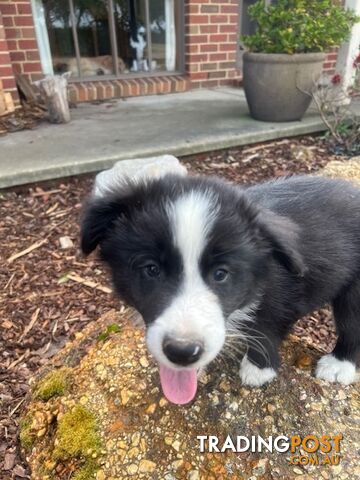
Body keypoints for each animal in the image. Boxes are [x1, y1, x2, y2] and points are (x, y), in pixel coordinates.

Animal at [81, 174, 360, 404]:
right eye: (151, 269)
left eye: (220, 274)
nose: (182, 352)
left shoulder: (282, 291)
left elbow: (267, 325)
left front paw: (258, 369)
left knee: (352, 323)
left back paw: (339, 365)